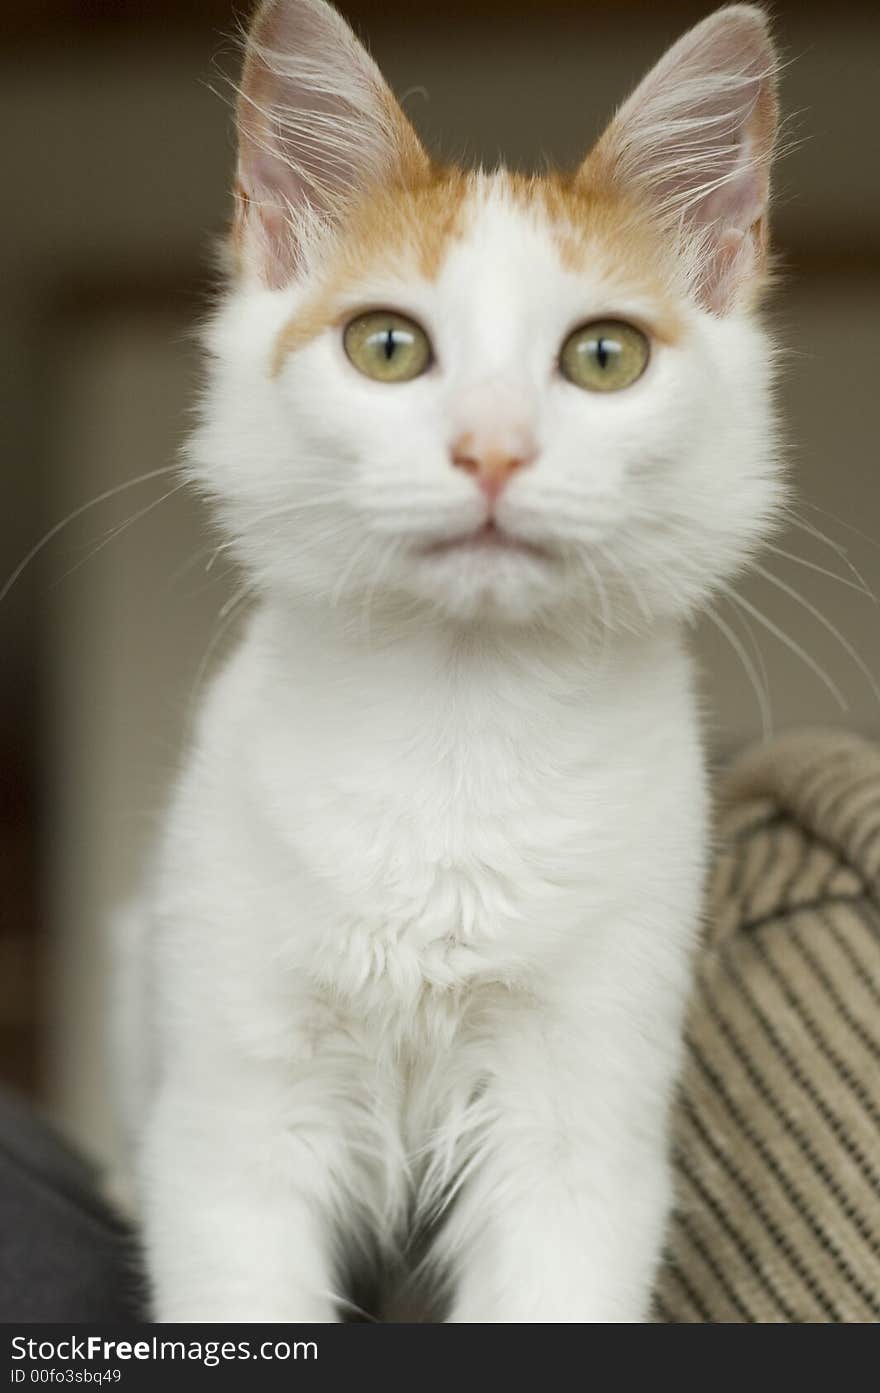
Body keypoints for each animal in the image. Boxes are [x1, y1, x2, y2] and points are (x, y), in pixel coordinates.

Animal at [116, 0, 785, 1320]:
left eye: (603, 358)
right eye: (386, 347)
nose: (492, 449)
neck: (459, 723)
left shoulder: (579, 1125)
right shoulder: (232, 1125)